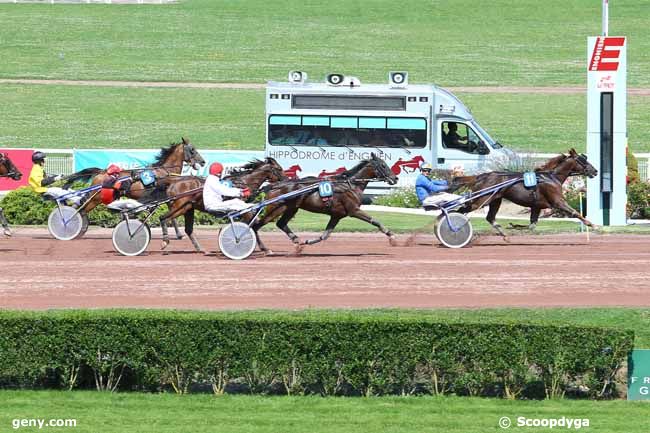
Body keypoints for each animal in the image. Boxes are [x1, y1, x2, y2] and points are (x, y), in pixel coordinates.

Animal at [62, 138, 205, 238]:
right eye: (192, 149)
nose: (203, 162)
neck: (164, 172)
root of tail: (102, 172)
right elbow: (172, 216)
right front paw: (177, 234)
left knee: (82, 210)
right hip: (96, 197)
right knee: (80, 209)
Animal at [153, 157, 288, 251]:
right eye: (279, 169)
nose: (287, 180)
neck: (242, 182)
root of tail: (173, 181)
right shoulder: (242, 211)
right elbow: (251, 226)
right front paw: (264, 248)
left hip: (188, 208)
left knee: (188, 230)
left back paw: (200, 249)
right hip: (179, 207)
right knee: (163, 218)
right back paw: (165, 241)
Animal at [251, 153, 398, 251]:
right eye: (383, 165)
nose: (395, 178)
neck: (350, 185)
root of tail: (272, 186)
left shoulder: (336, 215)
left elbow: (325, 235)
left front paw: (307, 242)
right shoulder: (354, 210)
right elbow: (375, 221)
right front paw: (392, 237)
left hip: (291, 208)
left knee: (281, 224)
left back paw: (297, 242)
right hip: (275, 207)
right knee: (256, 225)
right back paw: (265, 249)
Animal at [450, 148, 596, 236]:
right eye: (583, 160)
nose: (595, 171)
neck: (551, 177)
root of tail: (482, 176)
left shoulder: (537, 206)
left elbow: (532, 225)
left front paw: (513, 225)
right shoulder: (557, 202)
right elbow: (575, 212)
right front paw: (592, 224)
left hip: (495, 200)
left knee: (489, 217)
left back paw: (504, 235)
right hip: (482, 200)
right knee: (461, 210)